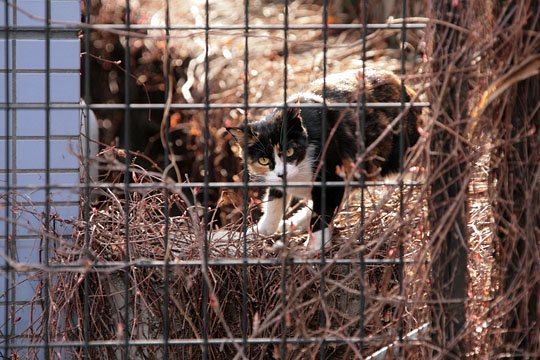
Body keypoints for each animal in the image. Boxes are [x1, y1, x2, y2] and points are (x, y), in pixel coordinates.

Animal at [226, 69, 420, 252]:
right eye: (264, 160)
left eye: (289, 151)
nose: (283, 173)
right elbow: (274, 202)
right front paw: (259, 231)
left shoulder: (331, 170)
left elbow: (324, 211)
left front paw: (315, 247)